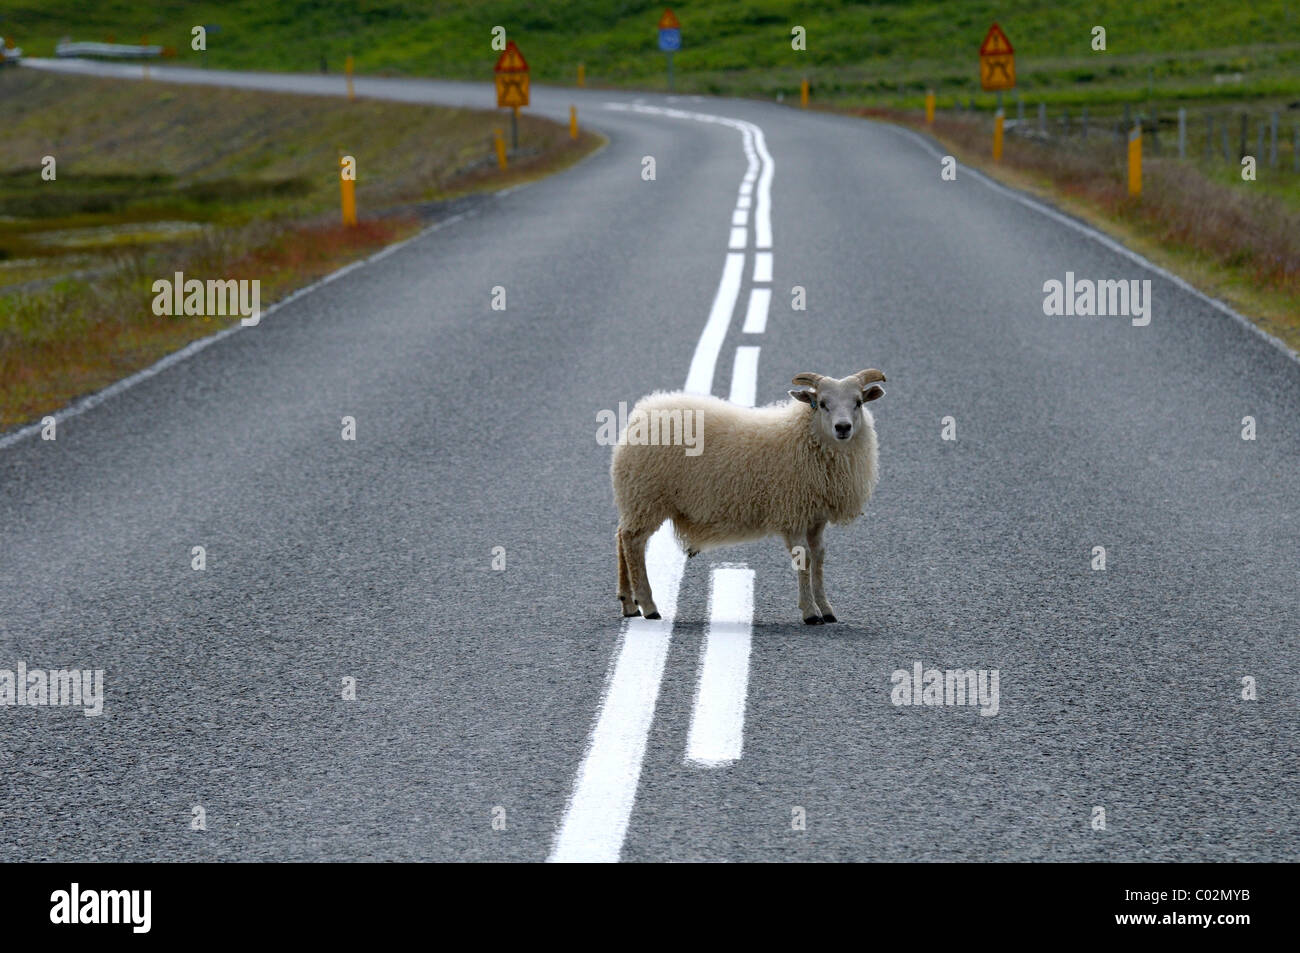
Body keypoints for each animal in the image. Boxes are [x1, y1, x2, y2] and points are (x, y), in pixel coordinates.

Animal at [612, 369, 886, 624]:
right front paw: (810, 613)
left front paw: (826, 609)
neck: (804, 436)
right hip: (646, 496)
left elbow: (818, 556)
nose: (843, 427)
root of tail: (640, 414)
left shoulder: (816, 517)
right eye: (822, 403)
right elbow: (804, 558)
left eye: (858, 403)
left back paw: (629, 604)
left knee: (621, 537)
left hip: (638, 499)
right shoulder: (794, 512)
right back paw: (648, 606)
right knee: (633, 543)